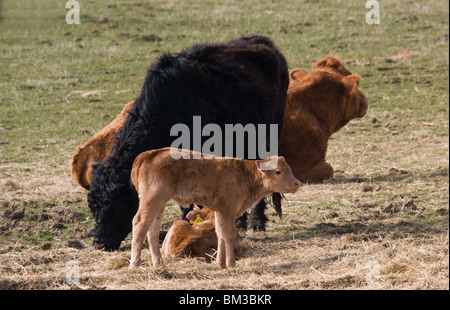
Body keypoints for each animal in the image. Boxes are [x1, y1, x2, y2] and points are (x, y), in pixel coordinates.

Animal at [89, 35, 288, 251]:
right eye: (93, 207)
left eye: (118, 207)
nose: (100, 243)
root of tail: (263, 42)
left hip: (268, 133)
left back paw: (256, 221)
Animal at [130, 147, 300, 268]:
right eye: (278, 171)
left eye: (290, 169)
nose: (296, 183)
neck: (244, 174)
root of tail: (148, 155)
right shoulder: (228, 210)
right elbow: (229, 234)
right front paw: (231, 264)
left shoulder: (220, 211)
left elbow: (220, 234)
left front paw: (220, 263)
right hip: (152, 200)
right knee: (140, 224)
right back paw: (135, 264)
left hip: (159, 204)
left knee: (152, 230)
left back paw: (159, 265)